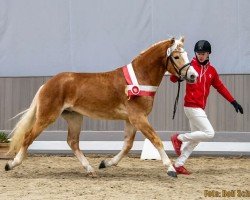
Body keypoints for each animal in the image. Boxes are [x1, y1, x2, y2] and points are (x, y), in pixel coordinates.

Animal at [4, 37, 198, 178]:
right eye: (176, 56)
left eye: (187, 54)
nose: (193, 76)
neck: (139, 77)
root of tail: (48, 83)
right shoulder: (138, 117)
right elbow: (156, 140)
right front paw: (170, 169)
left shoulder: (131, 120)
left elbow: (127, 145)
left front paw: (106, 163)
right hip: (47, 116)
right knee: (28, 136)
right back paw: (11, 164)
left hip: (74, 117)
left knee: (72, 142)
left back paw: (90, 169)